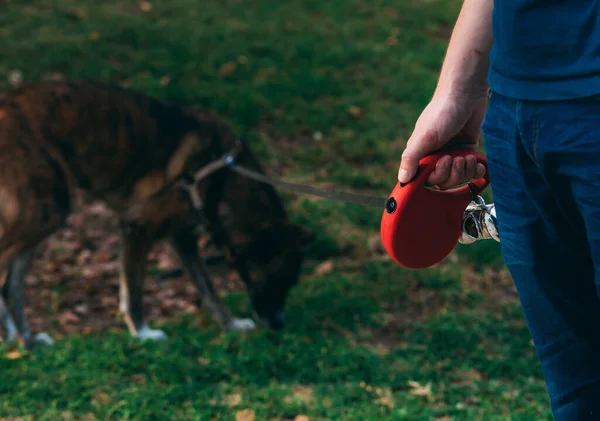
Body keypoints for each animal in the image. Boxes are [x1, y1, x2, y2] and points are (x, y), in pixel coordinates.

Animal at [0, 79, 312, 348]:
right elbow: (134, 290)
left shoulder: (182, 236)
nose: (279, 325)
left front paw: (231, 324)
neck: (223, 175)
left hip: (41, 215)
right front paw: (143, 333)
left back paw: (28, 341)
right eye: (279, 278)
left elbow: (208, 288)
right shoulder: (137, 225)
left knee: (10, 286)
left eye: (293, 282)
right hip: (44, 212)